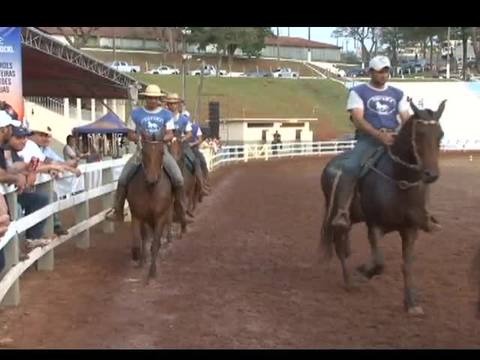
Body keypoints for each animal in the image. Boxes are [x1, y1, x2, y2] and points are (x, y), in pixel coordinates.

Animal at [126, 129, 173, 282]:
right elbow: (142, 240)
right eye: (144, 152)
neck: (151, 190)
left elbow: (155, 242)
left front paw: (152, 272)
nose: (152, 179)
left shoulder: (160, 217)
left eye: (162, 152)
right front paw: (141, 261)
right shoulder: (140, 216)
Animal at [318, 99, 446, 316]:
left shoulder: (410, 230)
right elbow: (379, 263)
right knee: (339, 245)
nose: (431, 174)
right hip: (336, 213)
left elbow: (407, 266)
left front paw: (411, 303)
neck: (398, 180)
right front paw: (362, 272)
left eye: (440, 134)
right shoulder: (374, 226)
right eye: (419, 133)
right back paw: (349, 282)